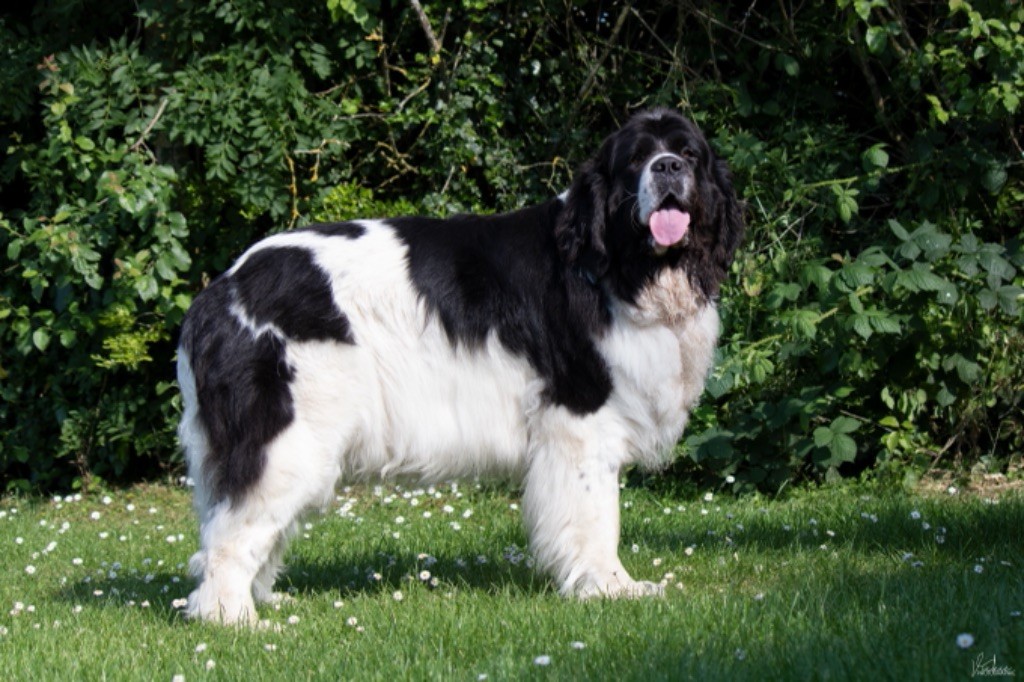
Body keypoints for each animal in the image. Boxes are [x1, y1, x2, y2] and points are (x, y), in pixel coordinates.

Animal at [177, 108, 743, 624]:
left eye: (689, 153)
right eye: (634, 160)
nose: (667, 168)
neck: (628, 266)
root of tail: (220, 290)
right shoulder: (581, 420)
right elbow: (597, 515)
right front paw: (611, 588)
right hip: (288, 435)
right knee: (230, 533)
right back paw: (234, 618)